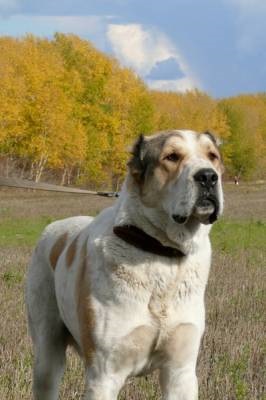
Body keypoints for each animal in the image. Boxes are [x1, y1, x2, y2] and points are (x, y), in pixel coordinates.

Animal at [26, 130, 223, 398]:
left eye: (212, 156)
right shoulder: (104, 376)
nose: (208, 177)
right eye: (171, 157)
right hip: (47, 356)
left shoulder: (180, 372)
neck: (159, 252)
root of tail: (53, 227)